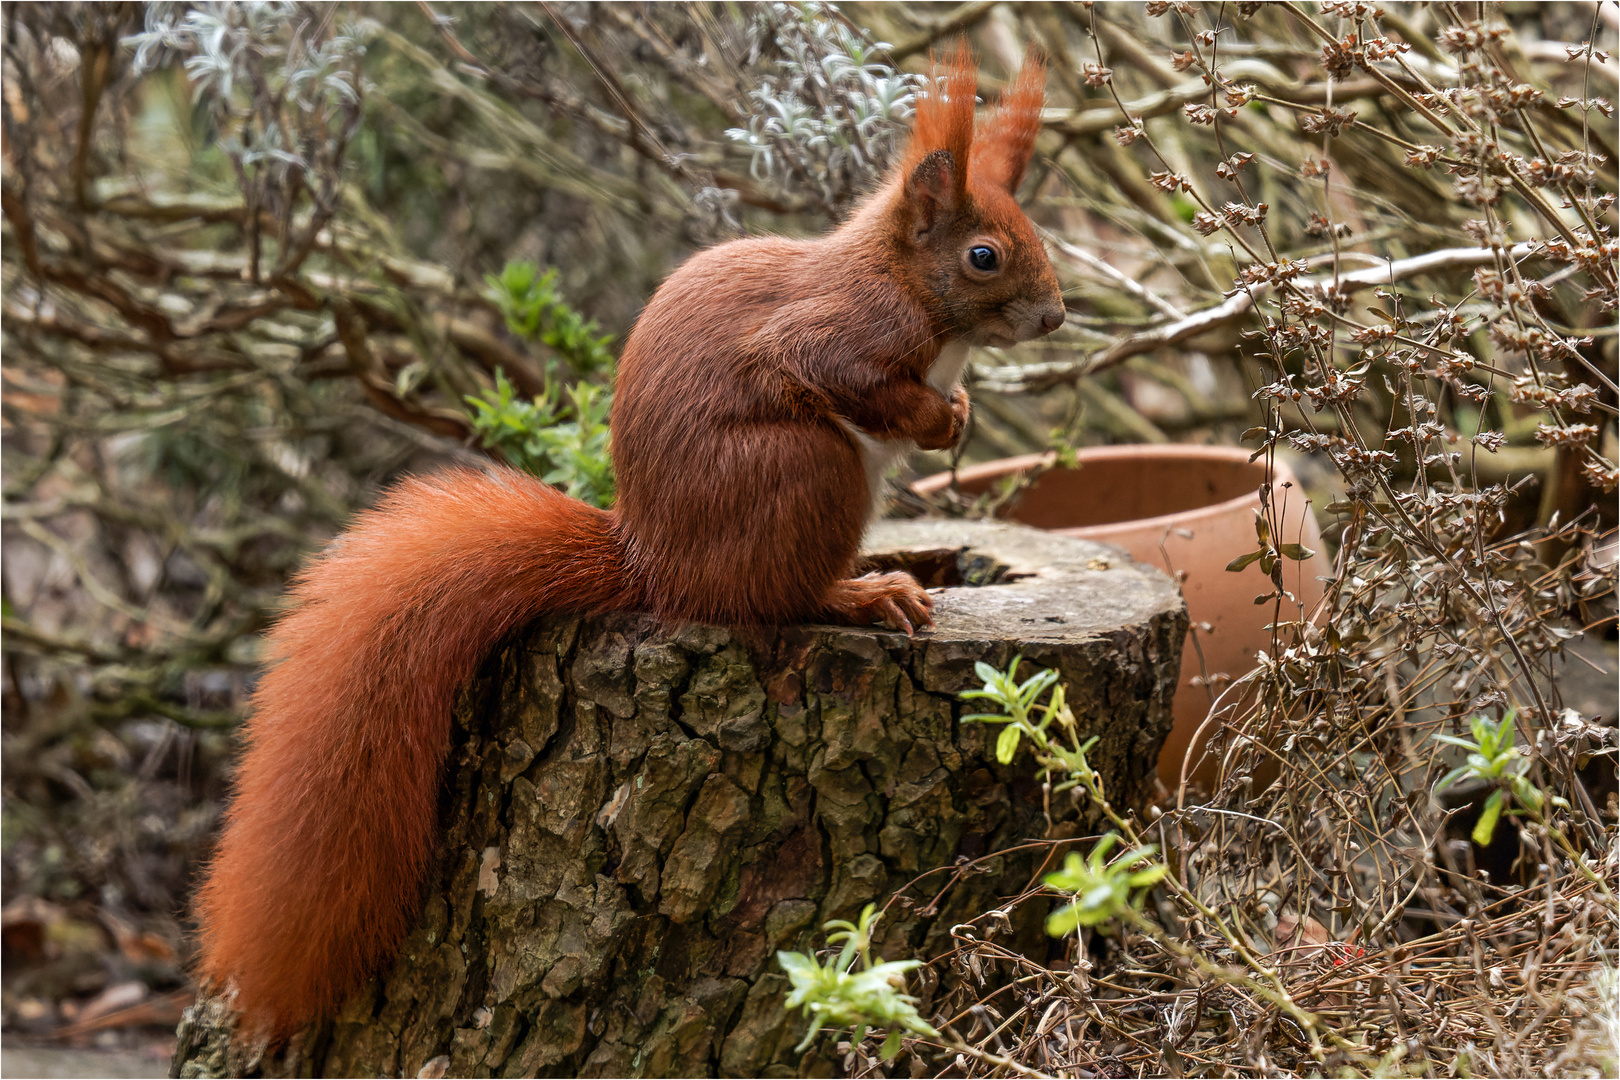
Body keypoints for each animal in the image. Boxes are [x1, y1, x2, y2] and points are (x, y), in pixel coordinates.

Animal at [196, 48, 1062, 1036]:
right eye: (983, 256)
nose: (1056, 317)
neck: (909, 288)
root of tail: (653, 561)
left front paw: (961, 412)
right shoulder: (839, 328)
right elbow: (839, 370)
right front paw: (935, 417)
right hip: (807, 472)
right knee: (775, 597)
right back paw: (864, 592)